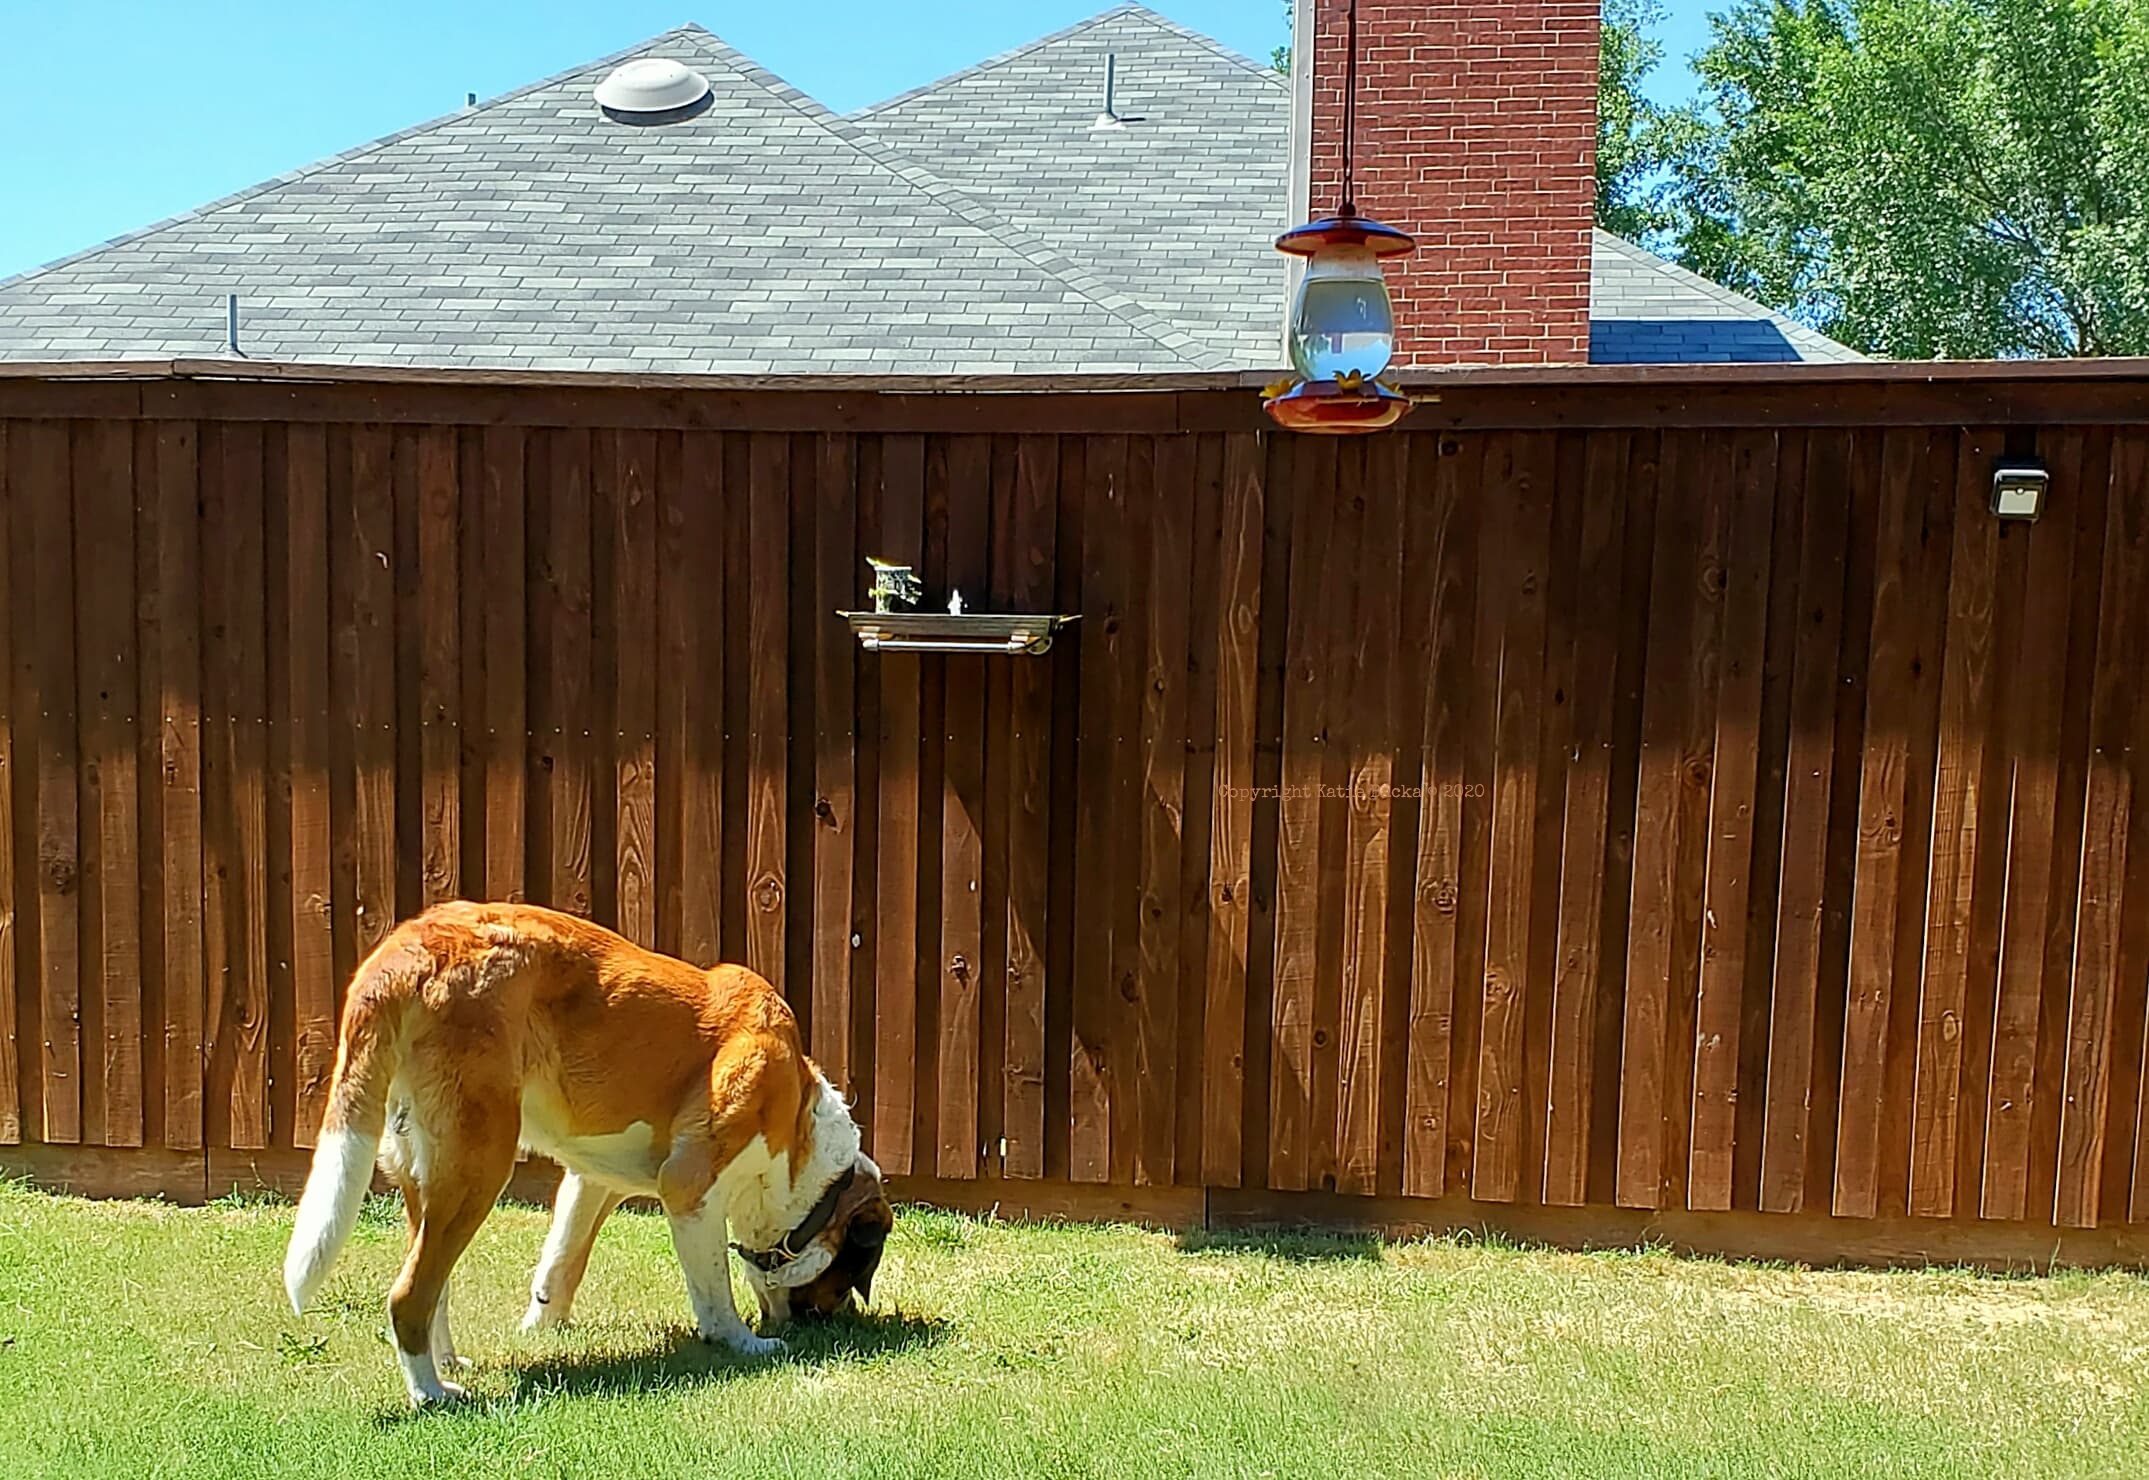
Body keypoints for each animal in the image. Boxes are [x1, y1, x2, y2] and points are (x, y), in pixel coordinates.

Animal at [283, 893, 889, 1400]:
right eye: (845, 1282)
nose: (827, 1325)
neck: (800, 1127)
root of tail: (413, 943)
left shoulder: (593, 1180)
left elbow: (562, 1261)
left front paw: (540, 1326)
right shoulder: (688, 1187)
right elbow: (713, 1287)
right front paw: (742, 1342)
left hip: (422, 1171)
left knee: (435, 1285)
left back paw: (449, 1365)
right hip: (480, 1164)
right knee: (409, 1293)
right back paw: (432, 1393)